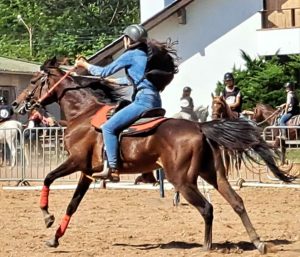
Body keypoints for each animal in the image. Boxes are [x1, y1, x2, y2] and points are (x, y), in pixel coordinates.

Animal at [11, 57, 292, 252]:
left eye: (34, 81)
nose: (15, 104)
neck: (84, 114)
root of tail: (200, 126)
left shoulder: (76, 162)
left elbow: (48, 178)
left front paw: (47, 217)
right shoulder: (87, 172)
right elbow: (73, 204)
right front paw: (54, 238)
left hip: (183, 180)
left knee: (207, 207)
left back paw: (206, 247)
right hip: (213, 175)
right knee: (237, 202)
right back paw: (258, 242)